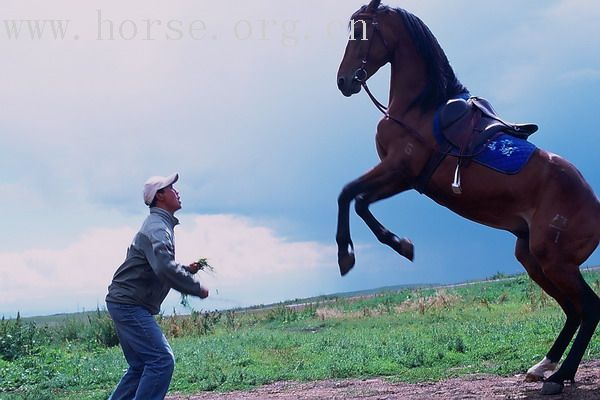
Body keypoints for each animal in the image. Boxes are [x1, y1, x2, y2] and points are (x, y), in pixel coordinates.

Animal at [336, 0, 596, 396]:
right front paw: (397, 245)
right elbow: (357, 200)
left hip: (556, 262)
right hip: (533, 258)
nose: (344, 81)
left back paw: (559, 377)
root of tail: (595, 205)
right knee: (573, 309)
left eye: (360, 31)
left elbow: (348, 195)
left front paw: (350, 254)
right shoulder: (406, 179)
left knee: (589, 308)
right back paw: (544, 366)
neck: (420, 108)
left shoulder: (400, 170)